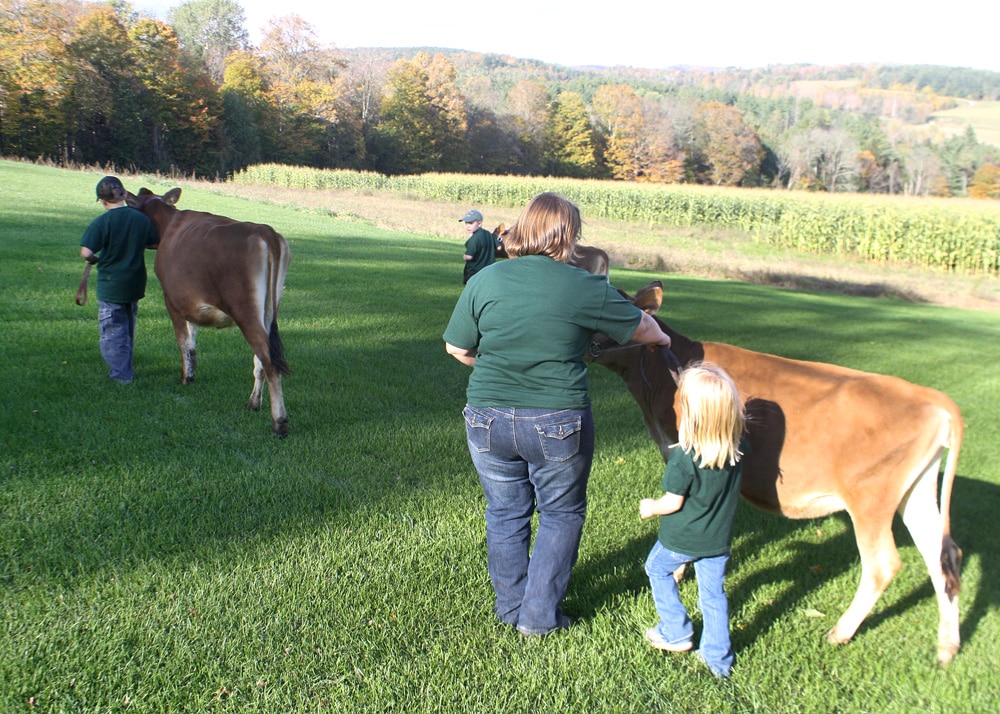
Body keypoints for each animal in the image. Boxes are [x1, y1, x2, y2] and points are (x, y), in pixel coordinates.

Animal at [129, 186, 290, 436]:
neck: (168, 225)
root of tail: (264, 230)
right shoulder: (190, 304)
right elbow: (192, 342)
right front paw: (192, 373)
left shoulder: (171, 301)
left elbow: (183, 342)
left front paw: (186, 378)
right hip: (269, 312)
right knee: (261, 361)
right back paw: (253, 403)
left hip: (246, 312)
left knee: (270, 363)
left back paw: (279, 423)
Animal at [588, 280, 964, 664]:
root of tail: (930, 396)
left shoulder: (678, 452)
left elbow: (675, 514)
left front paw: (676, 571)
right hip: (916, 492)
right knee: (944, 555)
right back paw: (947, 646)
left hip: (871, 498)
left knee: (883, 564)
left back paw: (841, 632)